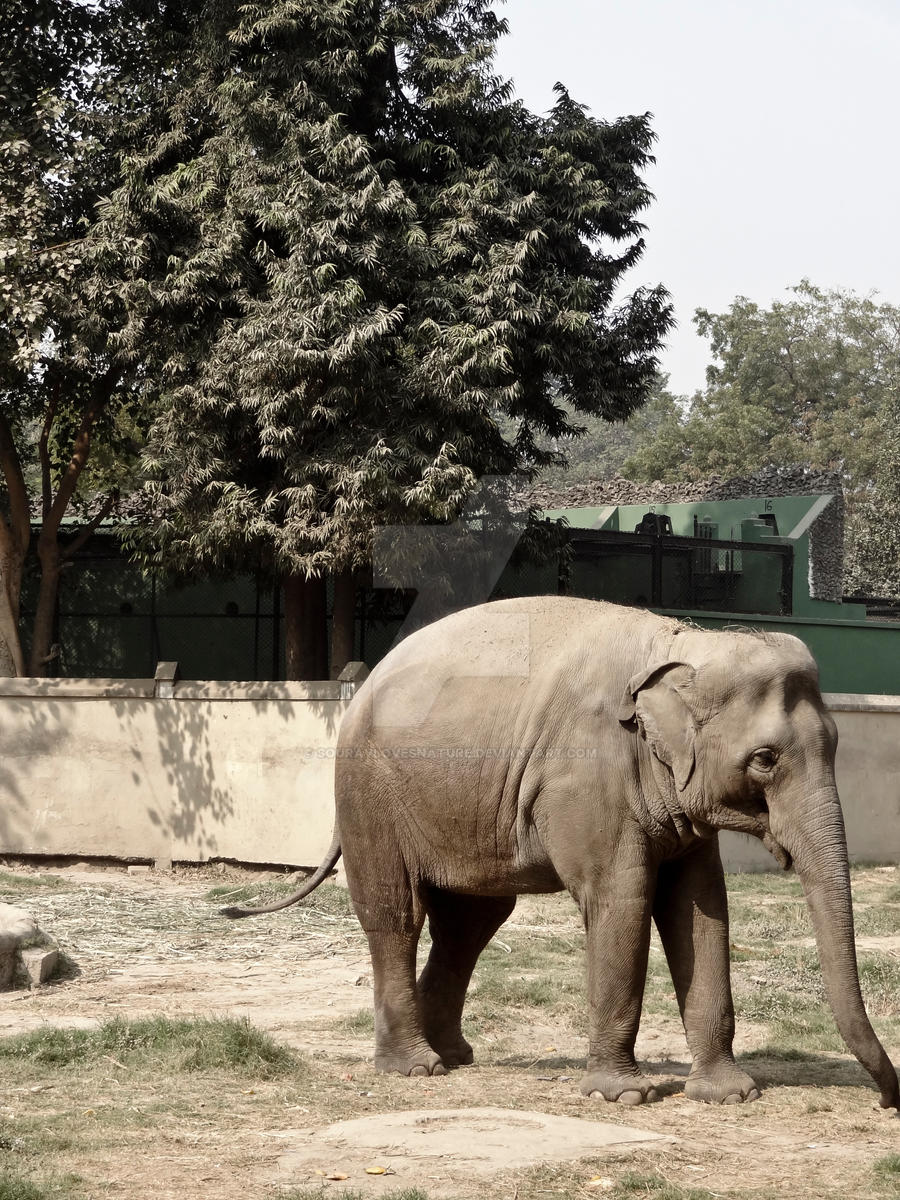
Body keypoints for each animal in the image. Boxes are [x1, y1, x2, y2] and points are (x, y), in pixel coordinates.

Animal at [225, 595, 900, 1108]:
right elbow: (622, 898)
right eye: (764, 759)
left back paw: (455, 1055)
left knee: (470, 923)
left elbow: (701, 907)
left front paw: (731, 1094)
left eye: (836, 743)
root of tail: (362, 688)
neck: (684, 644)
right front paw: (622, 1096)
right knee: (397, 914)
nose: (886, 1101)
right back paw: (416, 1068)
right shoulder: (587, 779)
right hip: (370, 793)